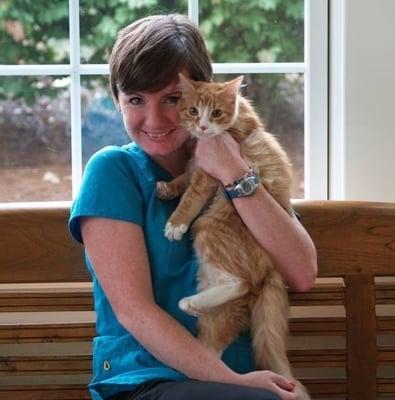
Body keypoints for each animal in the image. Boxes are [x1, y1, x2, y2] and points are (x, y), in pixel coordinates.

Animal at [156, 75, 310, 400]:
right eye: (192, 111)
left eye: (215, 113)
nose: (202, 126)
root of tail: (270, 270)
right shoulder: (195, 162)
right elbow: (183, 178)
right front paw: (166, 188)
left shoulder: (208, 172)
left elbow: (191, 195)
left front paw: (175, 223)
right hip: (217, 312)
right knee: (209, 355)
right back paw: (192, 307)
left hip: (207, 228)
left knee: (238, 283)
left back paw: (190, 303)